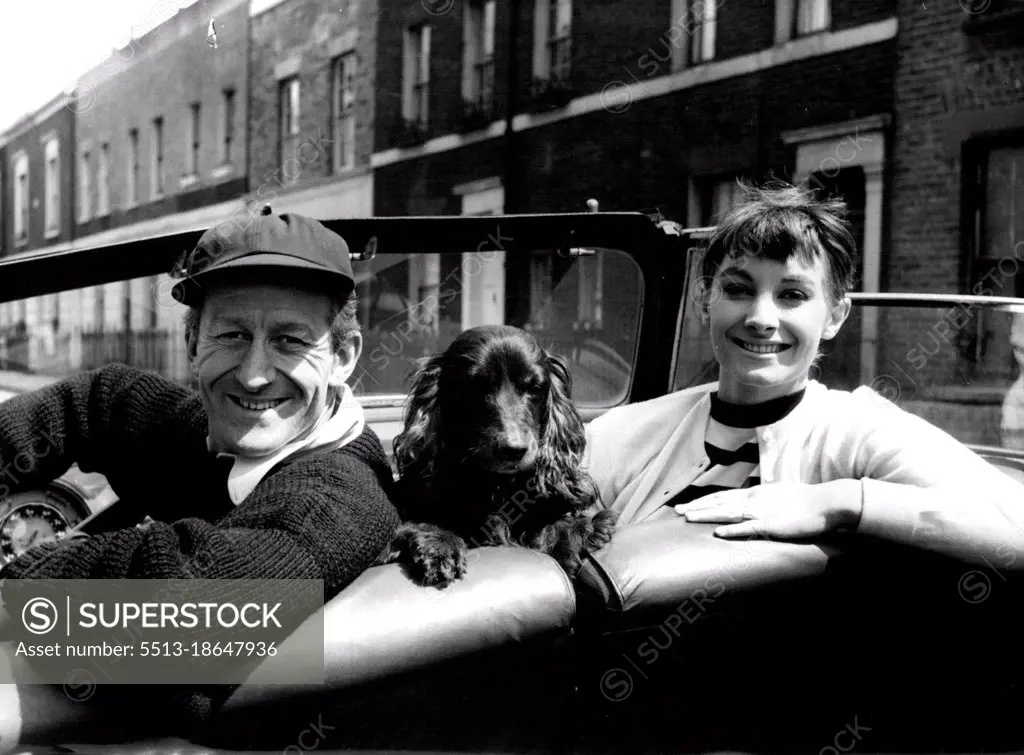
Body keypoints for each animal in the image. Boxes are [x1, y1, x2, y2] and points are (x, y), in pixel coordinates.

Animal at [382, 321, 614, 585]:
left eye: (535, 387)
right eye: (474, 388)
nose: (513, 449)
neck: (498, 487)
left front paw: (582, 529)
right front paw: (440, 545)